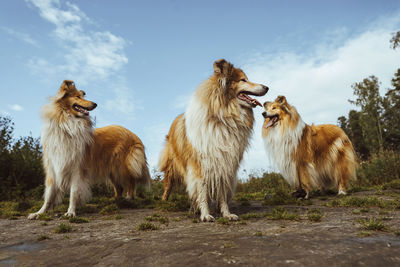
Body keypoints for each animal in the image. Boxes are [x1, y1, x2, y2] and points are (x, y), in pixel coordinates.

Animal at [27, 80, 150, 220]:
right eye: (78, 97)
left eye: (83, 96)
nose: (95, 104)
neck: (67, 124)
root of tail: (132, 133)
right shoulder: (53, 168)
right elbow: (49, 195)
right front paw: (39, 213)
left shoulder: (77, 168)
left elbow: (74, 193)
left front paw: (71, 212)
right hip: (112, 170)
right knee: (119, 188)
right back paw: (117, 201)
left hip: (122, 166)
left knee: (131, 181)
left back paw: (129, 199)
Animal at [159, 60, 268, 222]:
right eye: (243, 80)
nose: (267, 87)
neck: (224, 118)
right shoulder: (201, 164)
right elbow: (202, 191)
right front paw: (205, 214)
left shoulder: (224, 163)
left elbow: (222, 193)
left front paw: (226, 214)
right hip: (172, 165)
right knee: (168, 184)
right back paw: (164, 201)